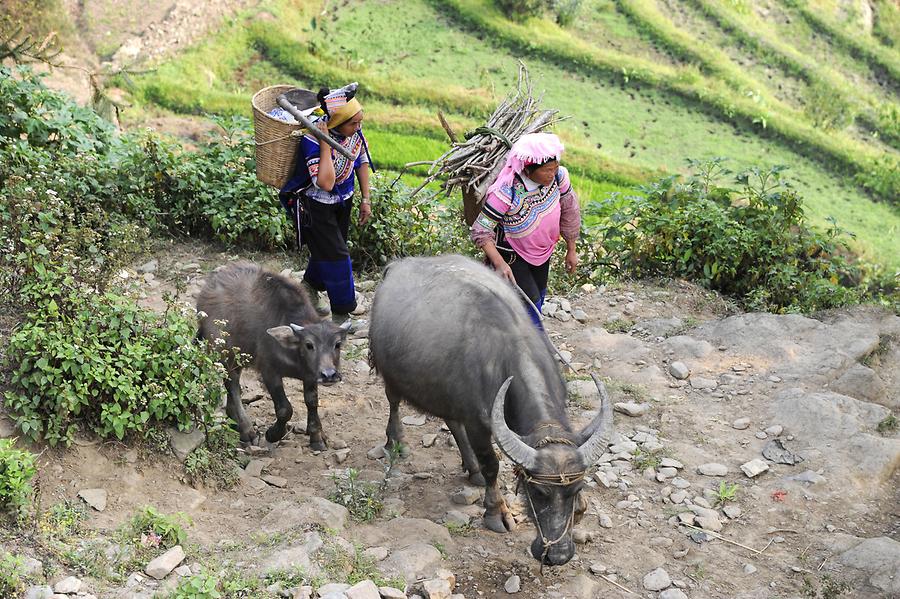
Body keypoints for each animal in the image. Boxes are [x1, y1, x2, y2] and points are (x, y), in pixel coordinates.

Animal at [198, 262, 352, 450]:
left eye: (337, 344)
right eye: (309, 345)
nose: (329, 375)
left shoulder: (310, 375)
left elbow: (312, 401)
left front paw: (316, 436)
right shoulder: (269, 372)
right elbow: (285, 409)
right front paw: (273, 434)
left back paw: (233, 420)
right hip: (225, 352)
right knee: (232, 386)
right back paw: (247, 431)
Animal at [366, 255, 612, 564]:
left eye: (576, 489)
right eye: (538, 491)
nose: (557, 555)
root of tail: (395, 266)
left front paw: (579, 509)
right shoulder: (477, 422)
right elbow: (492, 464)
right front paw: (496, 512)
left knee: (451, 419)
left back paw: (471, 469)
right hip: (391, 373)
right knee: (394, 402)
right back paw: (396, 442)